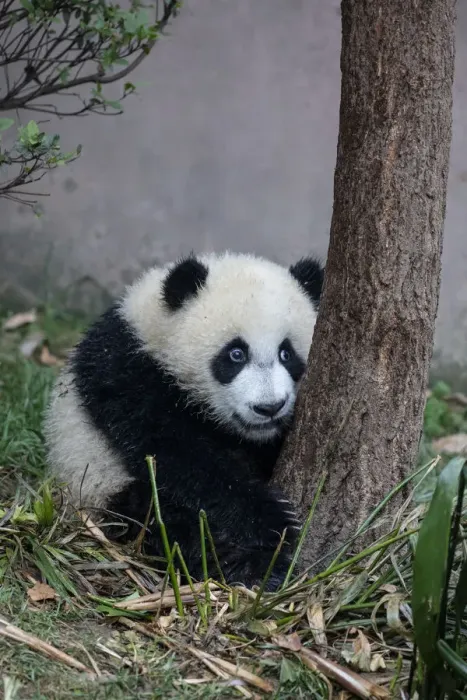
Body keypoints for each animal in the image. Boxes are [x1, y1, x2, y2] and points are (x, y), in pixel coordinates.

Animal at [44, 251, 324, 590]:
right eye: (235, 354)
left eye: (287, 353)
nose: (269, 407)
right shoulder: (128, 374)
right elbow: (177, 456)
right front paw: (270, 518)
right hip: (98, 483)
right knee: (161, 520)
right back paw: (247, 566)